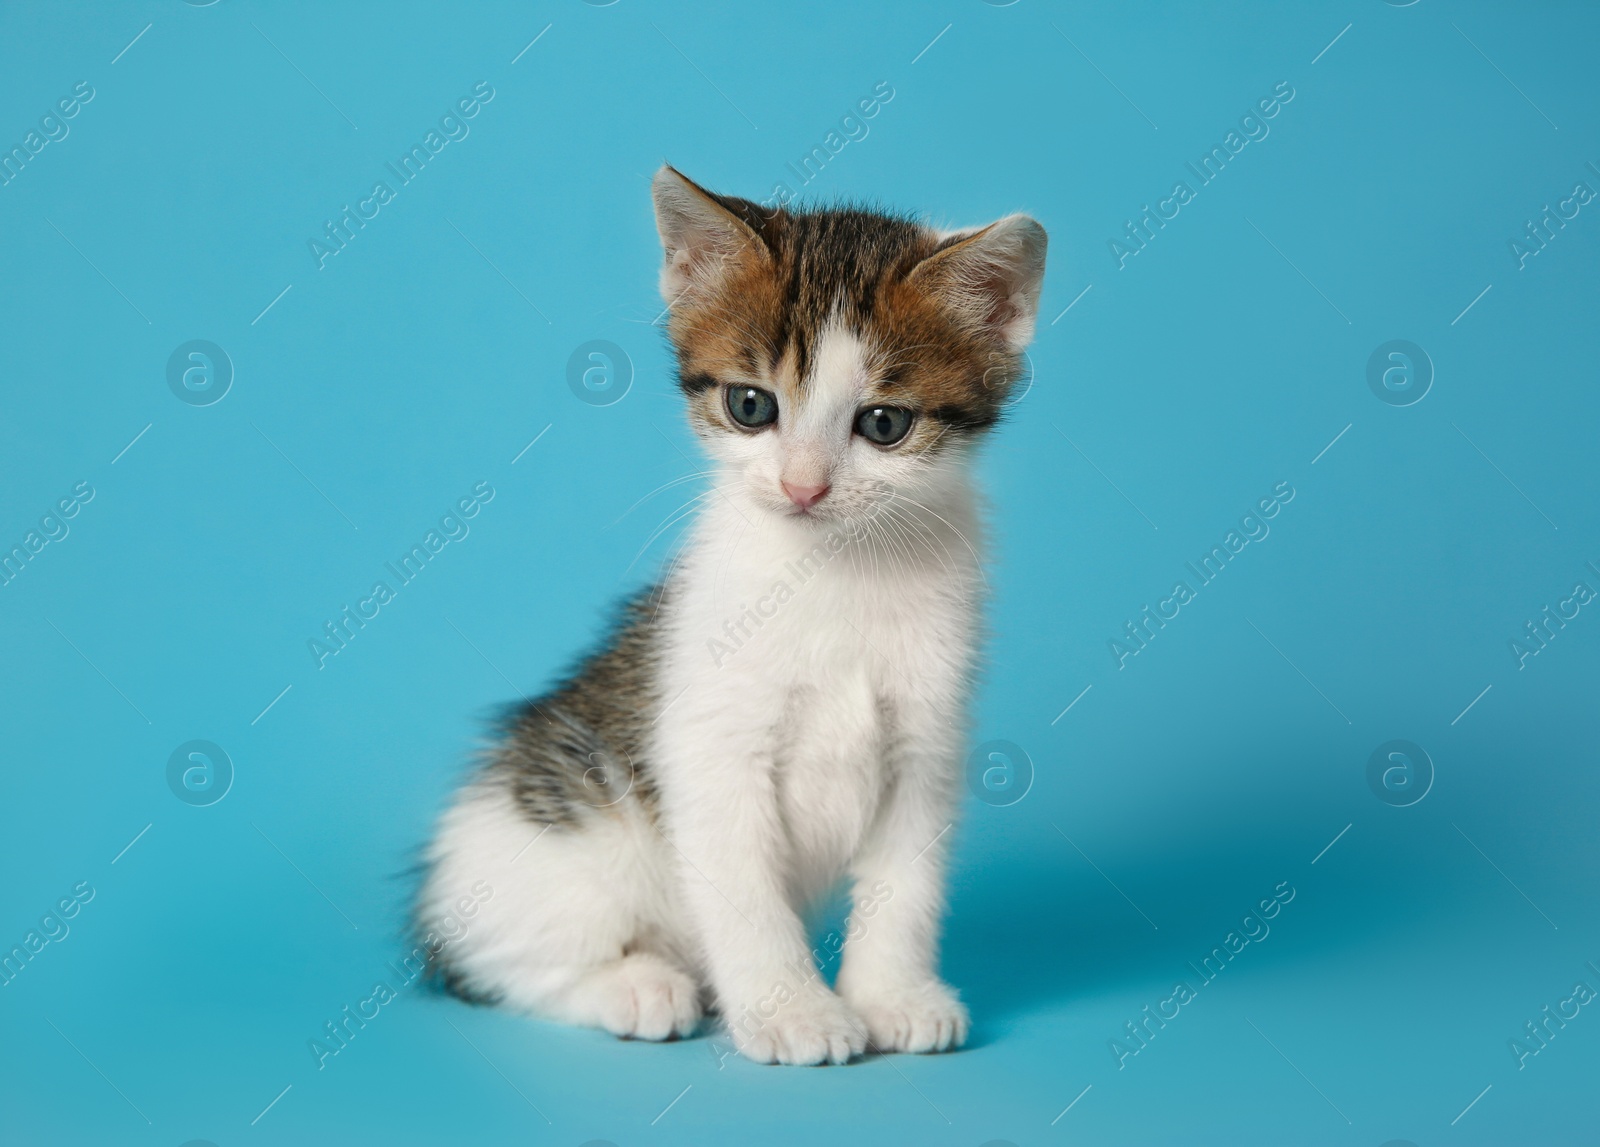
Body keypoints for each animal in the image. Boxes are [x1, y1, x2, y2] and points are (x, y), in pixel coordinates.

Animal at [412, 163, 1043, 1062]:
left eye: (885, 423)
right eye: (752, 406)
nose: (804, 487)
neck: (836, 571)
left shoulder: (927, 739)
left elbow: (906, 882)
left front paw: (893, 994)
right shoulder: (710, 744)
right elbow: (744, 892)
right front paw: (793, 1010)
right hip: (554, 862)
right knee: (505, 962)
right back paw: (637, 984)